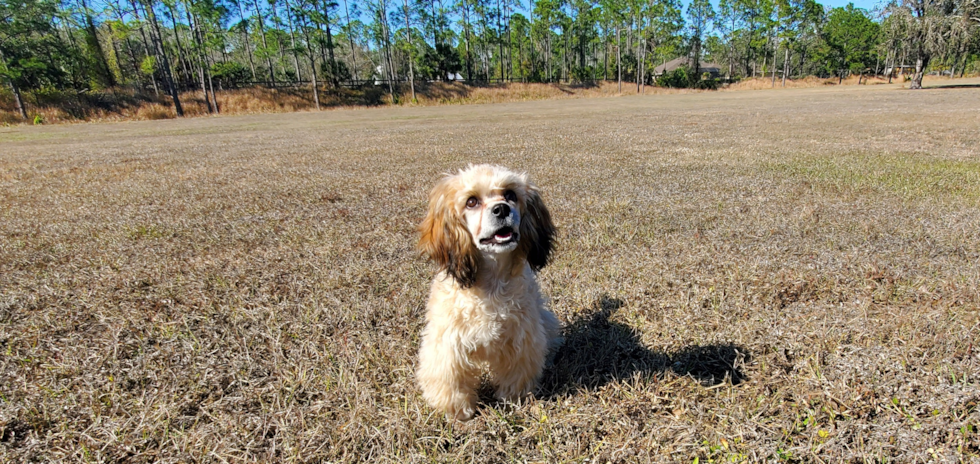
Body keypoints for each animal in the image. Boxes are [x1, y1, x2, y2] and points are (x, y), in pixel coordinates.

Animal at [418, 164, 564, 420]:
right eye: (471, 201)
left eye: (510, 195)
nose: (502, 208)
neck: (491, 284)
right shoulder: (447, 344)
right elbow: (451, 378)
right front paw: (457, 411)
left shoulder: (520, 339)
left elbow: (516, 373)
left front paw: (512, 398)